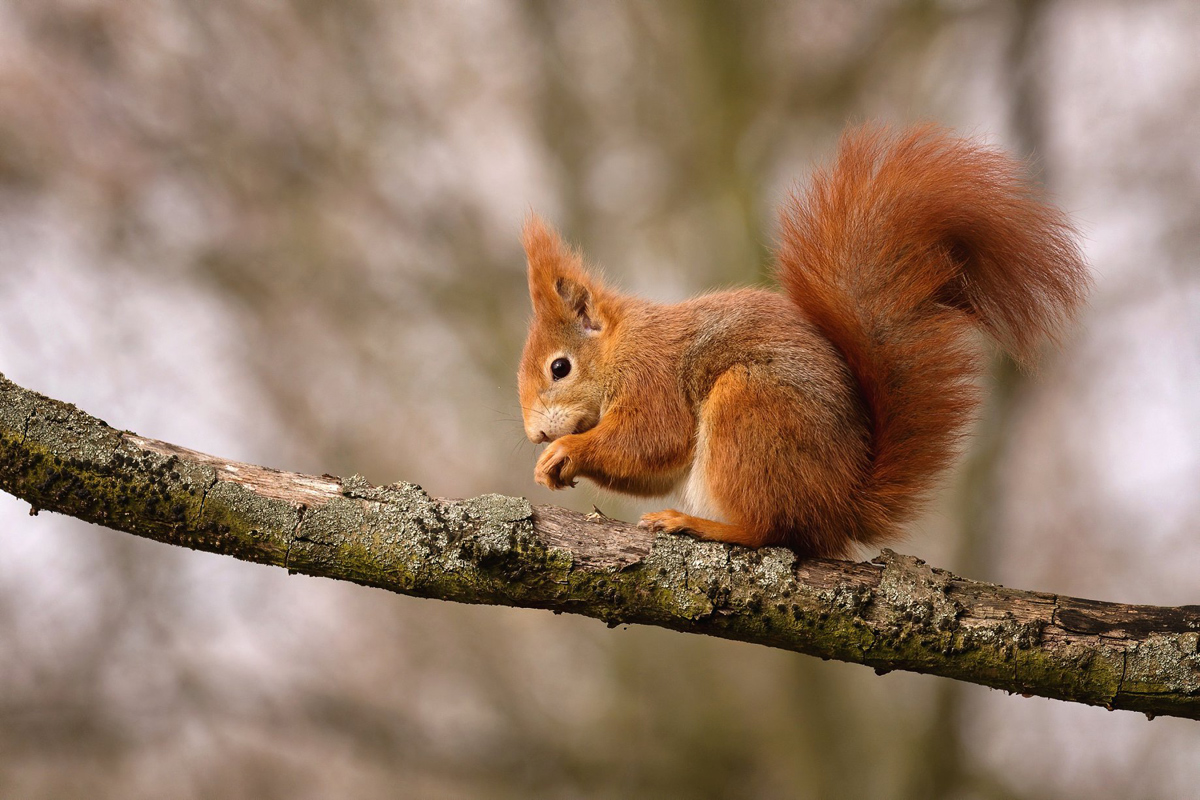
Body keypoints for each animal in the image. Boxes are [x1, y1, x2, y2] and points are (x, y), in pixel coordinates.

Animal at [516, 123, 1089, 556]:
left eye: (559, 368)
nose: (536, 435)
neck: (620, 347)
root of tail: (838, 507)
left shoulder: (652, 377)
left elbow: (651, 440)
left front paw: (567, 451)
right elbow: (652, 468)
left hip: (750, 409)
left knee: (770, 530)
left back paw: (699, 524)